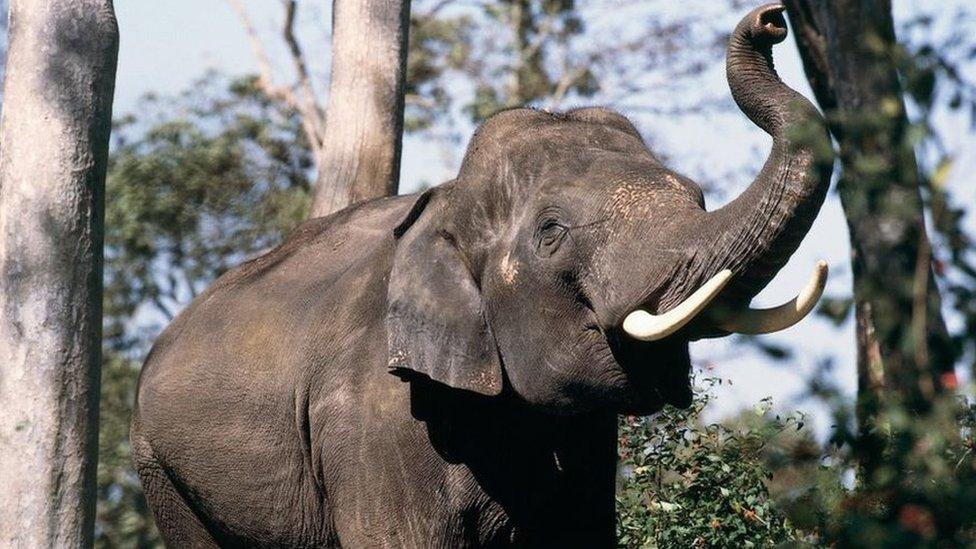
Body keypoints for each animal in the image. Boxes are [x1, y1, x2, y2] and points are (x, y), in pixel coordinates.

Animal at [130, 5, 832, 548]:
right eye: (551, 231)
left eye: (696, 194)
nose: (772, 20)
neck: (446, 202)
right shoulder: (372, 422)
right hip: (163, 470)